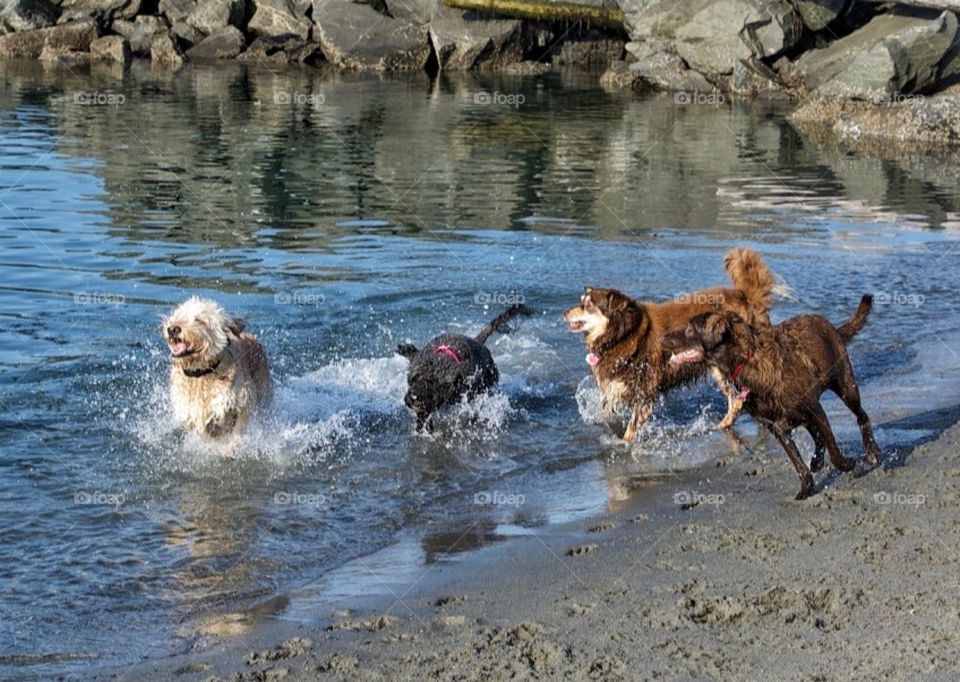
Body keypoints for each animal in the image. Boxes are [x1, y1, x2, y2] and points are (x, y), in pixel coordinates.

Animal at [162, 296, 274, 446]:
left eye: (200, 320)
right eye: (179, 316)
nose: (173, 329)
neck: (201, 374)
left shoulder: (246, 399)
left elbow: (237, 431)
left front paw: (230, 447)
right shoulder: (191, 413)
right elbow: (206, 434)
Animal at [568, 248, 776, 440]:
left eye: (588, 305)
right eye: (581, 302)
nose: (564, 313)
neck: (624, 334)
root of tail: (745, 297)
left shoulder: (645, 393)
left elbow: (630, 430)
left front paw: (624, 445)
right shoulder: (614, 388)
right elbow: (607, 414)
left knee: (740, 401)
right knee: (736, 401)